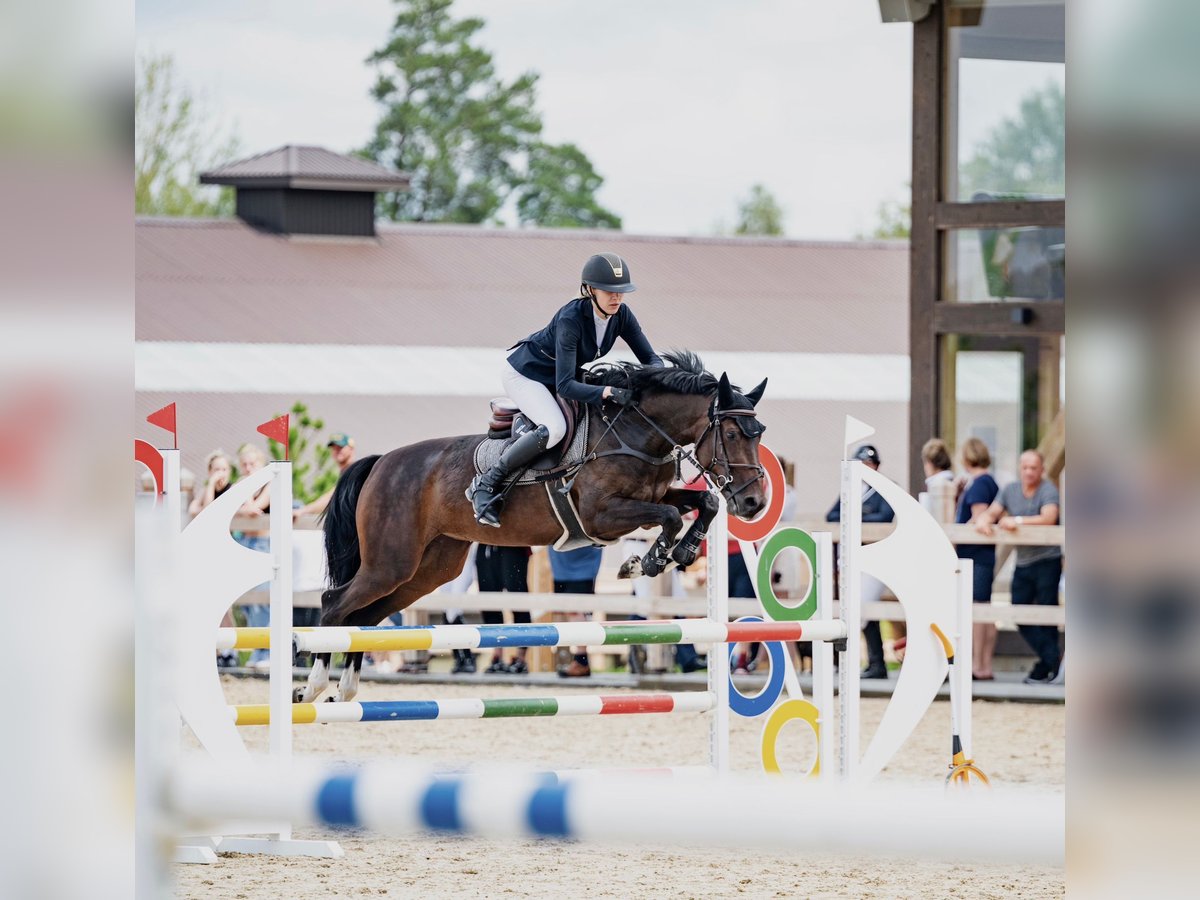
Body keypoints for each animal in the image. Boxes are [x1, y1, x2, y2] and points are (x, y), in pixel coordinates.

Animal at [296, 351, 768, 704]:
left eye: (759, 432)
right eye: (730, 433)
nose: (754, 502)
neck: (637, 431)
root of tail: (382, 463)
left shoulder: (654, 496)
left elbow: (703, 502)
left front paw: (680, 552)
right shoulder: (601, 515)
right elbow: (670, 517)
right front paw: (645, 561)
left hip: (428, 568)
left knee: (366, 616)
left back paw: (345, 690)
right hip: (390, 562)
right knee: (335, 604)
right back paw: (314, 687)